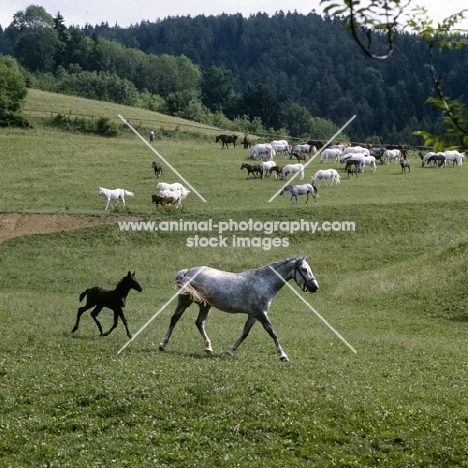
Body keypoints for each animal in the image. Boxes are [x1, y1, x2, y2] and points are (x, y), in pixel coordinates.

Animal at [159, 256, 320, 362]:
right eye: (304, 269)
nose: (315, 287)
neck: (263, 282)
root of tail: (187, 271)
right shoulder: (261, 314)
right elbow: (273, 333)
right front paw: (283, 355)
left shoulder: (253, 315)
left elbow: (244, 334)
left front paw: (230, 352)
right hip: (184, 301)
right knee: (174, 319)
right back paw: (163, 344)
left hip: (205, 305)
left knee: (199, 323)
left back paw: (208, 348)